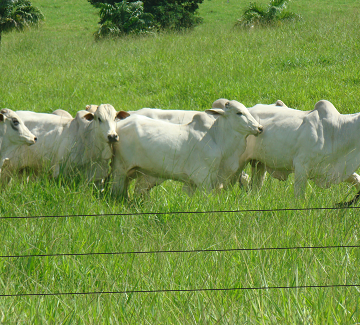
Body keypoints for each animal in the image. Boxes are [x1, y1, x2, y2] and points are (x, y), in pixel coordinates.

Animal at [111, 100, 262, 197]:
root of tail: (121, 122)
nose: (259, 128)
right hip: (120, 170)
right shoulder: (203, 179)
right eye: (239, 113)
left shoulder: (191, 183)